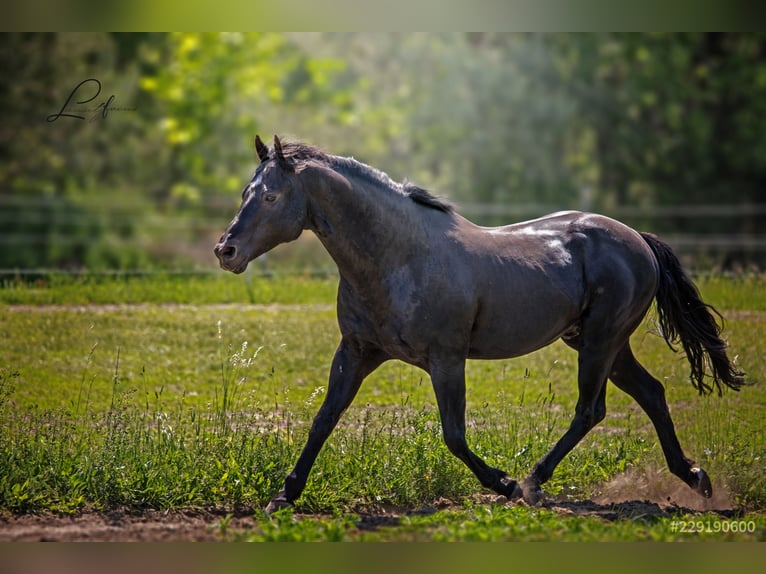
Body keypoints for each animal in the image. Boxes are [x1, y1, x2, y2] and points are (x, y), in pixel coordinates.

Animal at [214, 135, 745, 513]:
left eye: (272, 196)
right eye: (244, 192)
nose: (226, 251)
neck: (398, 257)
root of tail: (636, 238)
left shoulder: (446, 359)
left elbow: (453, 434)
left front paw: (504, 483)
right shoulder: (357, 352)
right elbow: (324, 419)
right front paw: (284, 494)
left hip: (600, 341)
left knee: (589, 411)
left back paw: (533, 481)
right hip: (601, 344)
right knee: (651, 393)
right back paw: (695, 477)